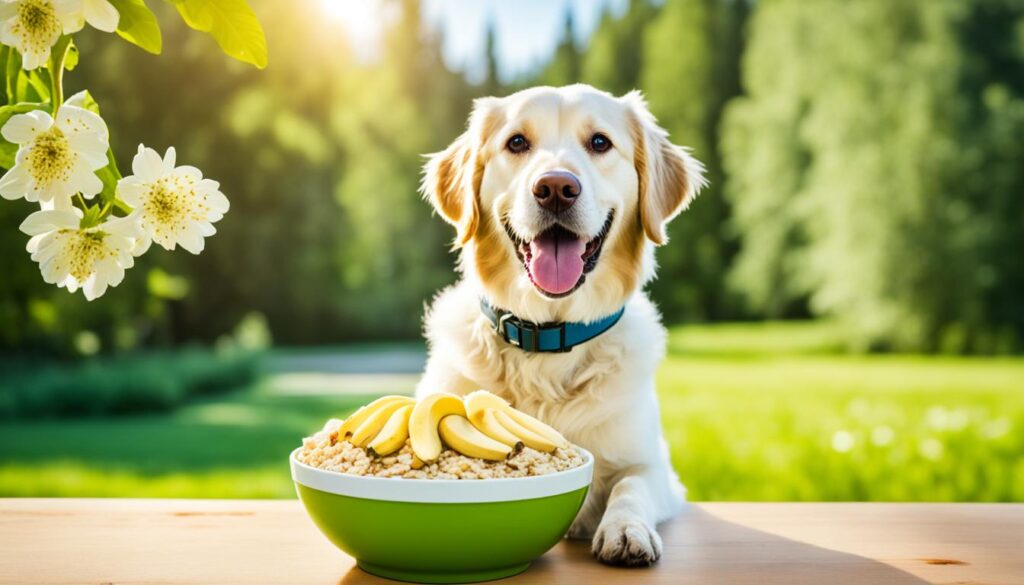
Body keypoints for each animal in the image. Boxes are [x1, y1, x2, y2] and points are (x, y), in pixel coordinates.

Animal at [413, 84, 704, 565]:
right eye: (516, 142)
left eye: (600, 142)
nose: (555, 188)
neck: (546, 341)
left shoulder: (655, 466)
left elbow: (631, 485)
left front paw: (625, 529)